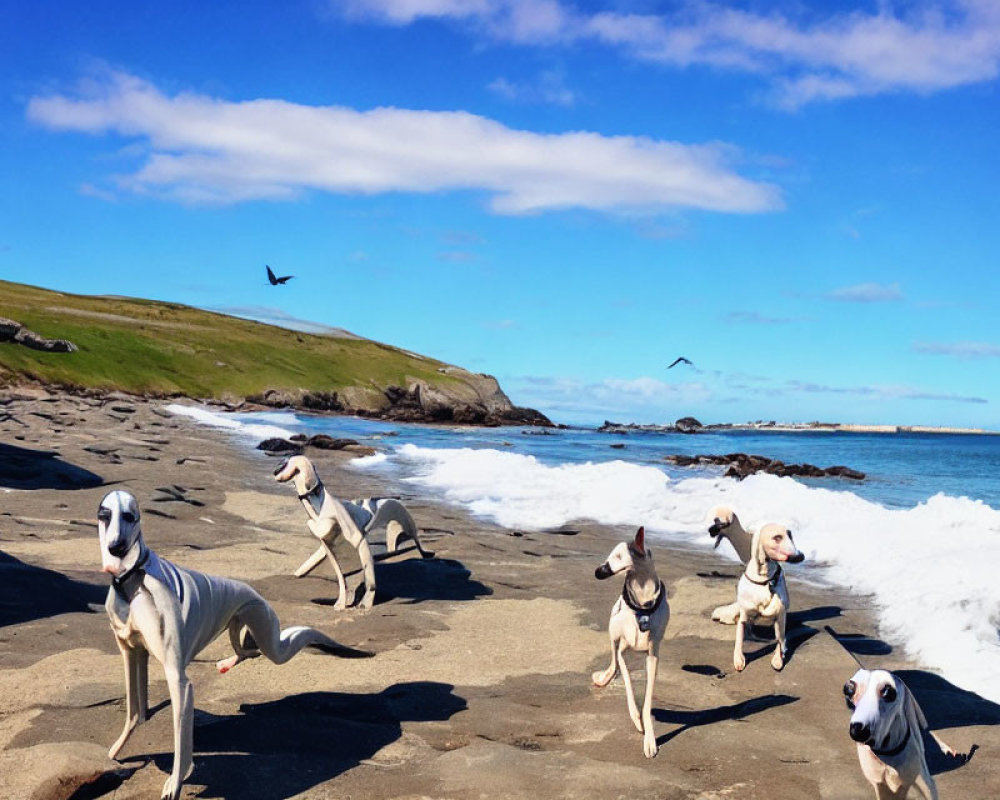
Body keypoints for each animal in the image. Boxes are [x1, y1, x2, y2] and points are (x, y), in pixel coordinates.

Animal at [97, 488, 348, 800]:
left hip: (268, 635)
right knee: (248, 652)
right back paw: (227, 662)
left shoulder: (179, 679)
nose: (116, 547)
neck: (133, 579)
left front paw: (174, 782)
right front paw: (117, 750)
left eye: (130, 516)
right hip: (239, 627)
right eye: (104, 516)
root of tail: (252, 591)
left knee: (274, 646)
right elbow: (134, 712)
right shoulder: (131, 651)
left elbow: (180, 740)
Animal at [272, 456, 432, 612]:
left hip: (406, 523)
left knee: (416, 542)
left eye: (284, 464)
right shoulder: (328, 547)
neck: (318, 508)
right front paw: (341, 603)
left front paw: (365, 603)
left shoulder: (359, 542)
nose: (274, 472)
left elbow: (369, 581)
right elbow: (342, 580)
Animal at [588, 528, 668, 760]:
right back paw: (604, 677)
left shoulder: (653, 655)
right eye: (610, 555)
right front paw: (635, 717)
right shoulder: (623, 652)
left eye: (618, 557)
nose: (597, 571)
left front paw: (649, 738)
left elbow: (648, 700)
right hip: (613, 630)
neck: (642, 605)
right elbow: (627, 681)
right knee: (613, 660)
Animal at [728, 516, 804, 672]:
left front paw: (778, 658)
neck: (765, 579)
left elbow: (779, 640)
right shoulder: (744, 615)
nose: (799, 555)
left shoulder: (780, 616)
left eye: (790, 535)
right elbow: (739, 637)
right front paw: (739, 658)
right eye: (777, 537)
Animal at [844, 668, 960, 800]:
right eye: (848, 691)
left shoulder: (924, 785)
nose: (857, 730)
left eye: (888, 692)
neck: (887, 756)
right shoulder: (880, 785)